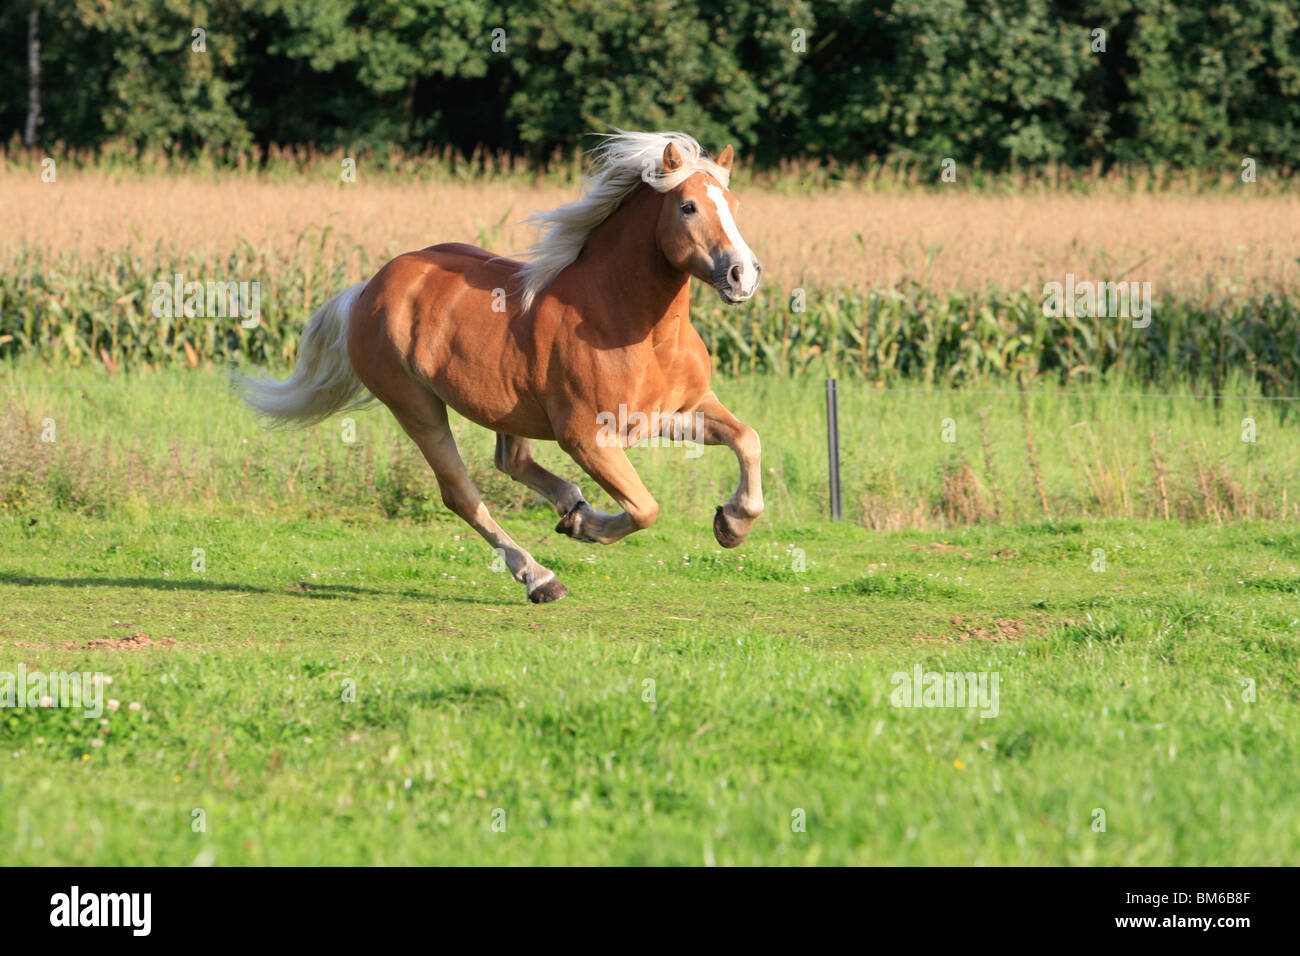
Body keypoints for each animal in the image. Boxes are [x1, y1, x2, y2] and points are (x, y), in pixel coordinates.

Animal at [236, 131, 764, 603]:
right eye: (688, 207)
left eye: (734, 204)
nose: (743, 275)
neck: (633, 327)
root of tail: (369, 288)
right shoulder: (587, 437)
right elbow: (645, 508)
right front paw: (587, 527)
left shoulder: (676, 411)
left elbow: (747, 439)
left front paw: (732, 524)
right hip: (416, 408)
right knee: (461, 493)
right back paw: (542, 577)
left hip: (508, 407)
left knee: (511, 461)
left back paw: (570, 505)